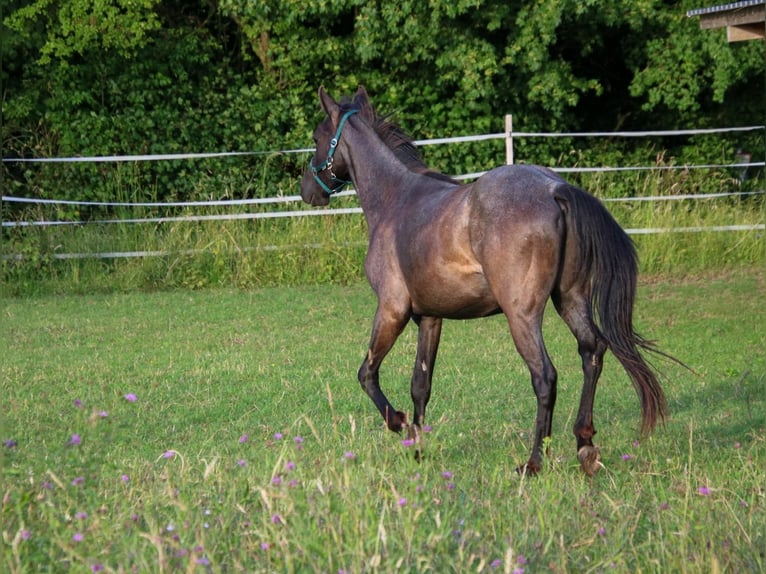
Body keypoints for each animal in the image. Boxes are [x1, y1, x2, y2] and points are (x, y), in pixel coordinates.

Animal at [300, 86, 672, 475]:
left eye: (316, 138)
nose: (307, 190)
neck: (395, 201)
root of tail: (555, 188)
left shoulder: (392, 310)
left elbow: (367, 374)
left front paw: (401, 424)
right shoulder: (429, 318)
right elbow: (420, 384)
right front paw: (418, 448)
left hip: (522, 315)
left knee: (545, 376)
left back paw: (534, 461)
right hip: (570, 299)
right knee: (592, 351)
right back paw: (584, 445)